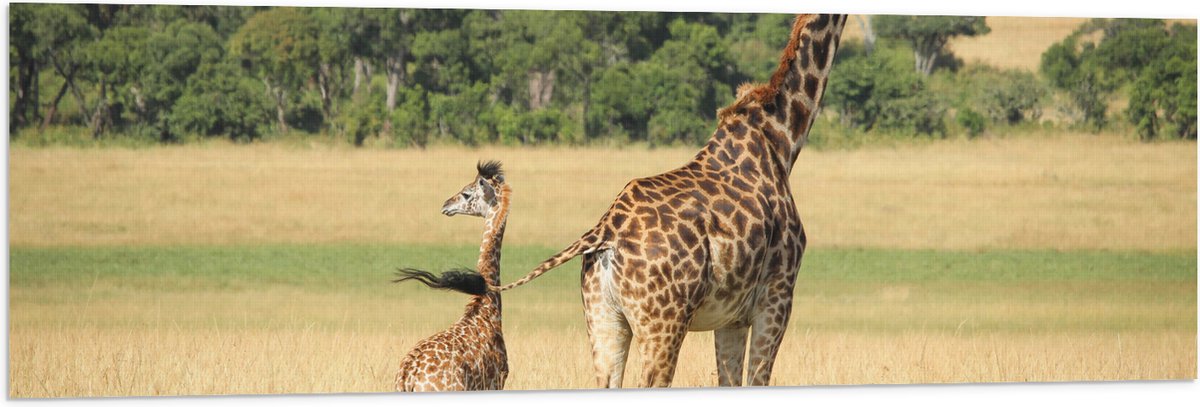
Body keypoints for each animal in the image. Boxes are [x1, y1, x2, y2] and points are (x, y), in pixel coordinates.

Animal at [487, 14, 847, 388]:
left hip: (603, 318)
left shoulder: (732, 317)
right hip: (663, 325)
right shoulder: (777, 297)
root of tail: (604, 233)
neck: (781, 139)